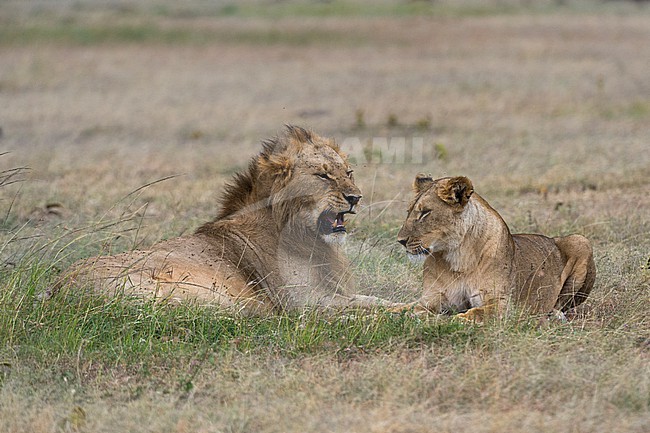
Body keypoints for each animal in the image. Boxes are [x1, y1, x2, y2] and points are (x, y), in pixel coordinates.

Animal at [55, 125, 398, 314]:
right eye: (324, 176)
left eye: (349, 172)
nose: (356, 198)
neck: (307, 236)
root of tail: (59, 289)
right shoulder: (304, 304)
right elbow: (367, 309)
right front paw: (405, 313)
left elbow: (373, 299)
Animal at [394, 174, 592, 318]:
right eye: (408, 211)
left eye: (425, 213)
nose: (400, 240)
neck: (458, 257)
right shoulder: (431, 300)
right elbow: (401, 309)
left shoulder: (502, 304)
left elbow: (472, 314)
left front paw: (450, 320)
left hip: (581, 241)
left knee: (561, 305)